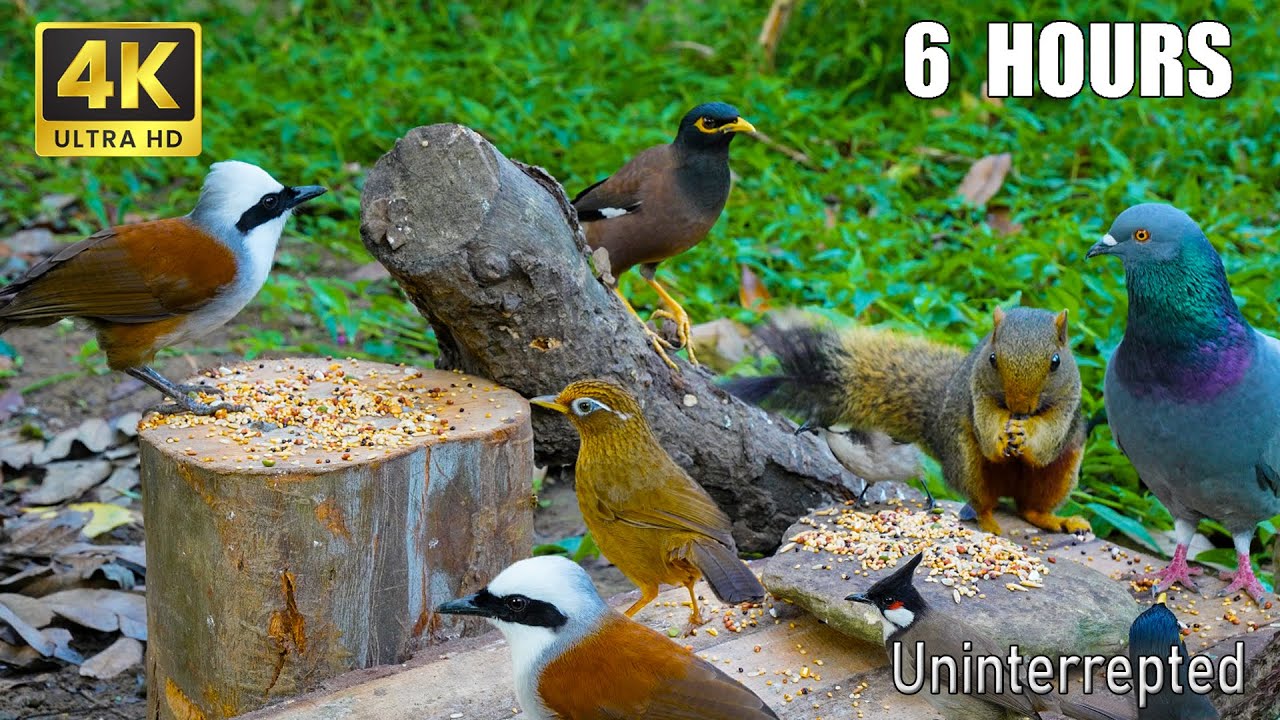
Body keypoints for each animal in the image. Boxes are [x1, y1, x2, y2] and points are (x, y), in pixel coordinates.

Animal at [728, 307, 1091, 536]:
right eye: (992, 359)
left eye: (1056, 362)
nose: (805, 429)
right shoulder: (976, 393)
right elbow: (986, 430)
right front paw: (858, 500)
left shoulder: (1069, 398)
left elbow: (1049, 438)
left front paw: (1023, 433)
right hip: (966, 459)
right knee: (983, 494)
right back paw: (988, 518)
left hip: (1062, 469)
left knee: (1030, 503)